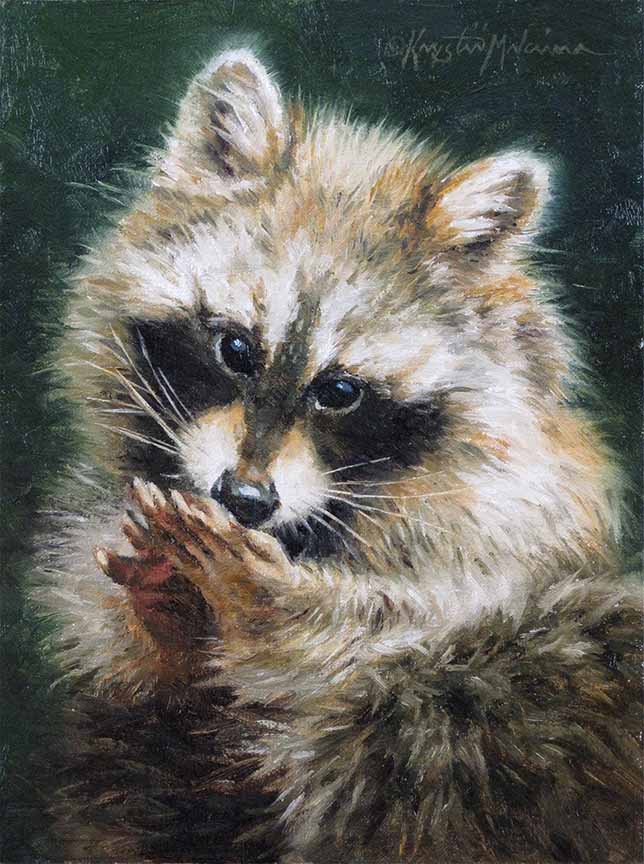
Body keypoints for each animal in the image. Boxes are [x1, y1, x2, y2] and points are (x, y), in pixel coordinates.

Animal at [36, 48, 642, 863]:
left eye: (341, 391)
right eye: (235, 349)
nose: (245, 500)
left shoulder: (508, 525)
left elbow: (392, 636)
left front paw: (265, 605)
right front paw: (167, 619)